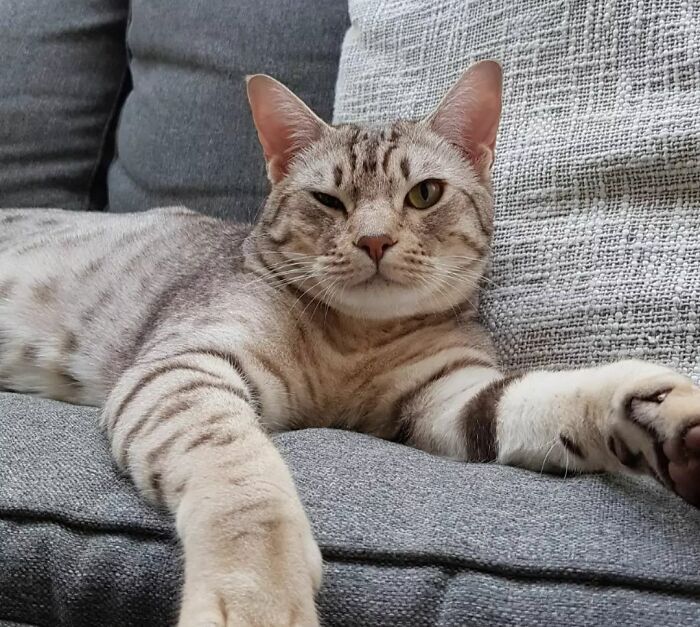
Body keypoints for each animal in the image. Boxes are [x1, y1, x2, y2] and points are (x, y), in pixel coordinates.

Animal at [1, 60, 700, 627]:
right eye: (328, 200)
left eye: (425, 193)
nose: (373, 240)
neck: (356, 339)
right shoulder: (181, 366)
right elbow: (242, 484)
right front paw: (258, 598)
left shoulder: (449, 396)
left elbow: (542, 396)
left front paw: (664, 416)